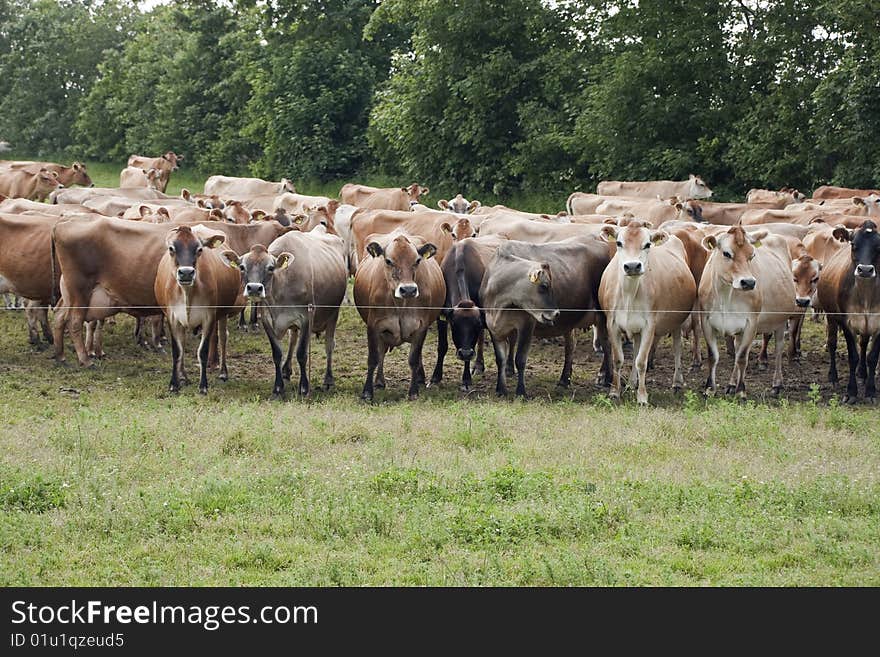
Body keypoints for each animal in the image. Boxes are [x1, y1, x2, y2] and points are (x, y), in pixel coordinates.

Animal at [155, 226, 244, 392]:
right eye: (171, 248)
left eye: (199, 249)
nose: (186, 272)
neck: (187, 292)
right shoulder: (172, 317)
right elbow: (177, 351)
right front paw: (174, 383)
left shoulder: (208, 317)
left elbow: (203, 351)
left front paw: (203, 385)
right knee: (183, 343)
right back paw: (183, 375)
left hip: (223, 313)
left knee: (223, 337)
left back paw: (223, 372)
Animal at [352, 233, 444, 402]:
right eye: (388, 261)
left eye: (417, 261)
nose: (408, 290)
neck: (400, 304)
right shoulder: (374, 326)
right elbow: (373, 358)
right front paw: (367, 392)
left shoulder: (421, 327)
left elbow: (414, 359)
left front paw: (413, 392)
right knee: (381, 353)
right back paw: (379, 381)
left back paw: (419, 379)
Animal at [482, 238, 612, 398]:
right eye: (544, 286)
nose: (556, 313)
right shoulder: (494, 328)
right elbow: (500, 359)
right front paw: (501, 389)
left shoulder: (527, 325)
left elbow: (520, 359)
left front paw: (521, 391)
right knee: (571, 346)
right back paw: (564, 380)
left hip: (603, 315)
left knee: (608, 345)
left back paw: (607, 379)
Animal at [600, 222, 696, 404]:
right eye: (619, 243)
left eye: (647, 244)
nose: (632, 266)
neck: (629, 294)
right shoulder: (612, 324)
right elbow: (619, 359)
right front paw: (615, 392)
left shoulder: (649, 326)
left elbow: (642, 361)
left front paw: (642, 396)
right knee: (636, 349)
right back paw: (631, 383)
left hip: (678, 321)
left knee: (677, 348)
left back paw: (677, 382)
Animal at [700, 226, 796, 398]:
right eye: (726, 253)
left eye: (752, 255)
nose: (749, 282)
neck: (725, 295)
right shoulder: (706, 321)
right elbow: (713, 356)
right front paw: (710, 388)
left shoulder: (752, 323)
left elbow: (742, 357)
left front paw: (741, 390)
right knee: (737, 348)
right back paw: (731, 384)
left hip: (780, 321)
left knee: (778, 349)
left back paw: (777, 384)